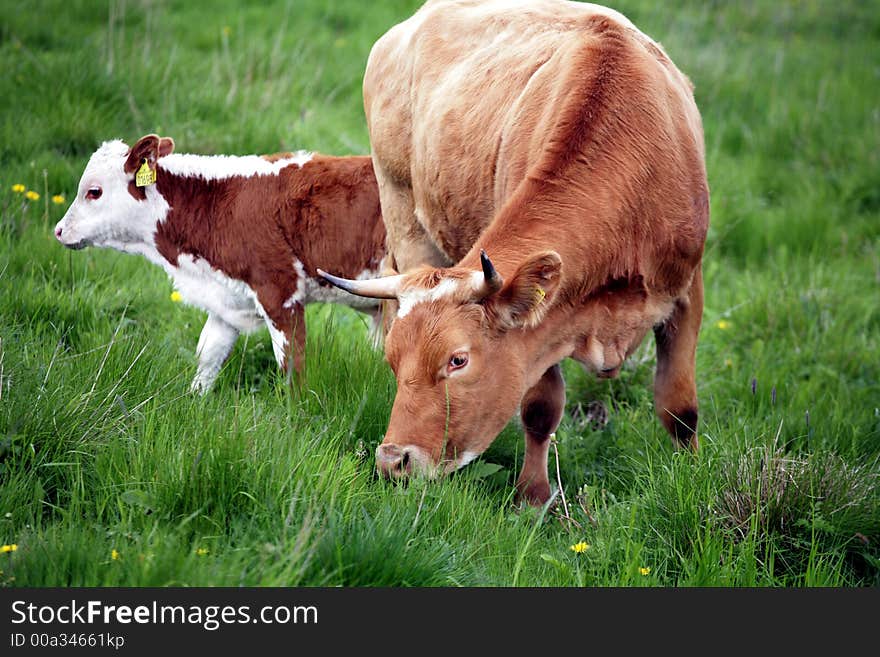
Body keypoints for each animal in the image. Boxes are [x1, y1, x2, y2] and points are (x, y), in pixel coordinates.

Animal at [54, 133, 384, 390]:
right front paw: (193, 405)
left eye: (94, 192)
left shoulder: (280, 293)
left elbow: (292, 367)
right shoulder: (226, 298)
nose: (58, 231)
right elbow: (207, 357)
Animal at [320, 0, 712, 504]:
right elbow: (540, 408)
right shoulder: (539, 327)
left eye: (458, 360)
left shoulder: (687, 291)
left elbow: (679, 408)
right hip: (402, 209)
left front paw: (694, 477)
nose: (393, 461)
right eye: (393, 359)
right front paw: (534, 495)